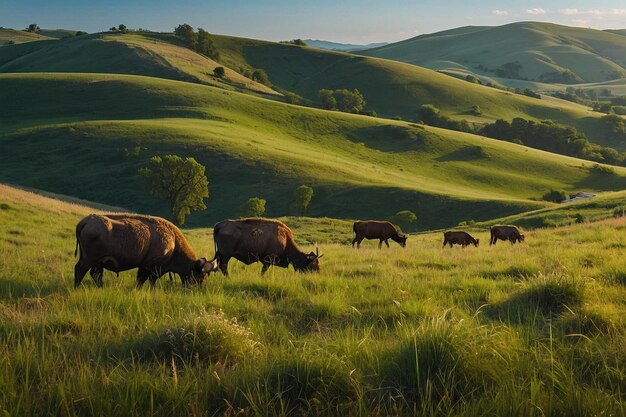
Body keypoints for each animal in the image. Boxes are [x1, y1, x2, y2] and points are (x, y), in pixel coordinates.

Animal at [73, 213, 217, 288]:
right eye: (200, 275)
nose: (201, 288)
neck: (174, 243)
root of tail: (84, 221)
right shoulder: (152, 267)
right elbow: (148, 280)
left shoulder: (144, 266)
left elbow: (141, 280)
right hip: (89, 259)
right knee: (80, 269)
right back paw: (77, 287)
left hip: (96, 261)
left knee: (95, 274)